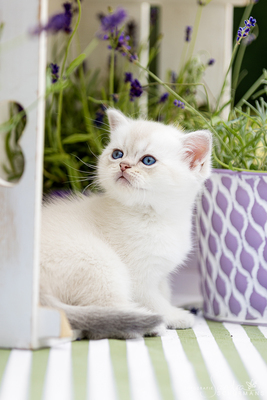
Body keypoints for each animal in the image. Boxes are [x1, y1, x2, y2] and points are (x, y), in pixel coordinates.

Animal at [39, 108, 213, 340]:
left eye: (148, 160)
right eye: (117, 154)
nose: (123, 165)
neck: (156, 217)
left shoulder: (160, 275)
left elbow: (164, 292)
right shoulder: (139, 277)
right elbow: (155, 301)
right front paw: (174, 315)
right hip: (101, 260)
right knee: (108, 306)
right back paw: (148, 324)